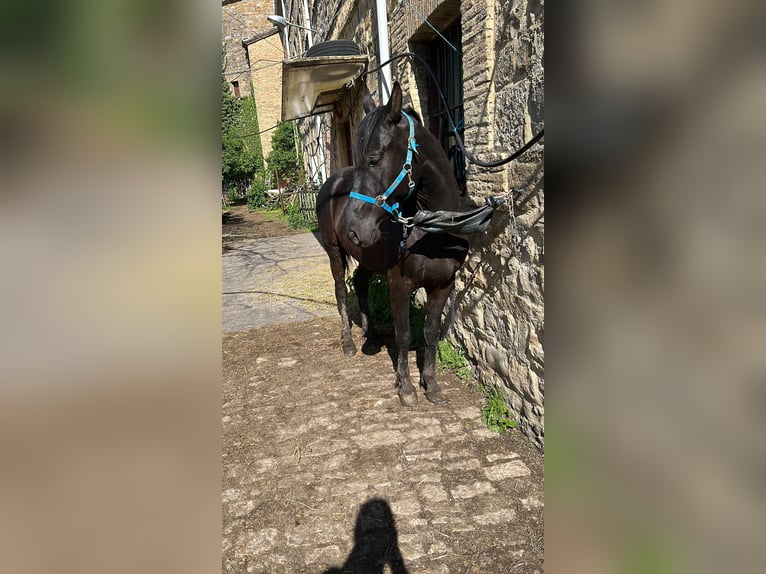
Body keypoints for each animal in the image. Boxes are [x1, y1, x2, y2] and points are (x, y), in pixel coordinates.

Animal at [316, 81, 470, 407]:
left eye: (374, 159)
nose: (353, 228)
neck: (433, 230)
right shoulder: (398, 283)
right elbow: (403, 334)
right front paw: (407, 389)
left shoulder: (443, 284)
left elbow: (429, 332)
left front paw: (431, 386)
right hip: (335, 252)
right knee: (340, 289)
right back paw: (348, 343)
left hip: (364, 256)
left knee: (360, 283)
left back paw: (371, 334)